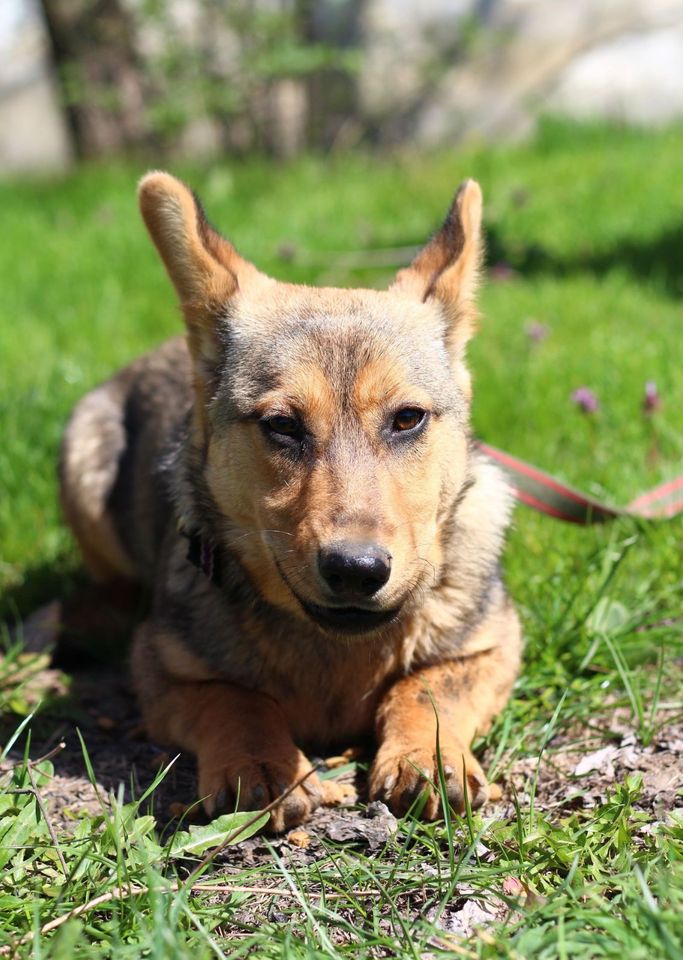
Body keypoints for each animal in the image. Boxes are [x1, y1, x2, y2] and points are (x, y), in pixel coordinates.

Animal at [61, 174, 524, 832]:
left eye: (408, 418)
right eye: (282, 425)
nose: (357, 571)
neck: (338, 654)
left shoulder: (493, 642)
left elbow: (429, 686)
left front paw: (427, 755)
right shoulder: (161, 664)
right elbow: (236, 697)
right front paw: (262, 764)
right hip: (82, 457)